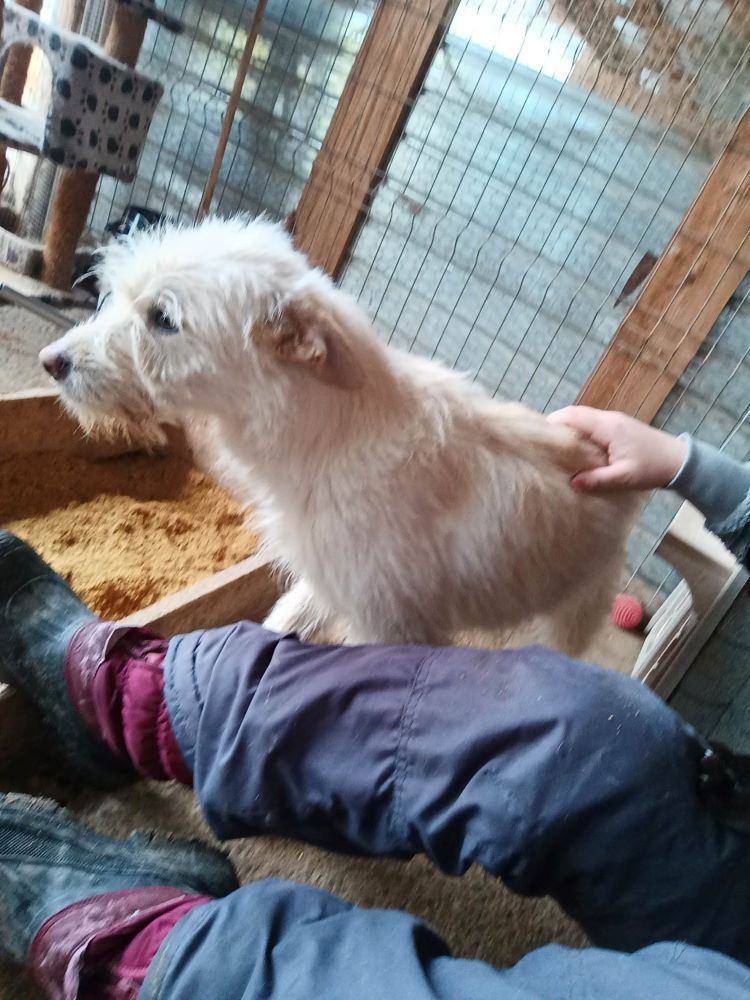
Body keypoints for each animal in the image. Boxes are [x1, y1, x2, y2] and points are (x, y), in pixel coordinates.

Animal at [41, 216, 640, 652]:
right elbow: (283, 621)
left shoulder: (391, 625)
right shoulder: (325, 583)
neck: (328, 438)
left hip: (576, 612)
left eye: (163, 318)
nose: (51, 361)